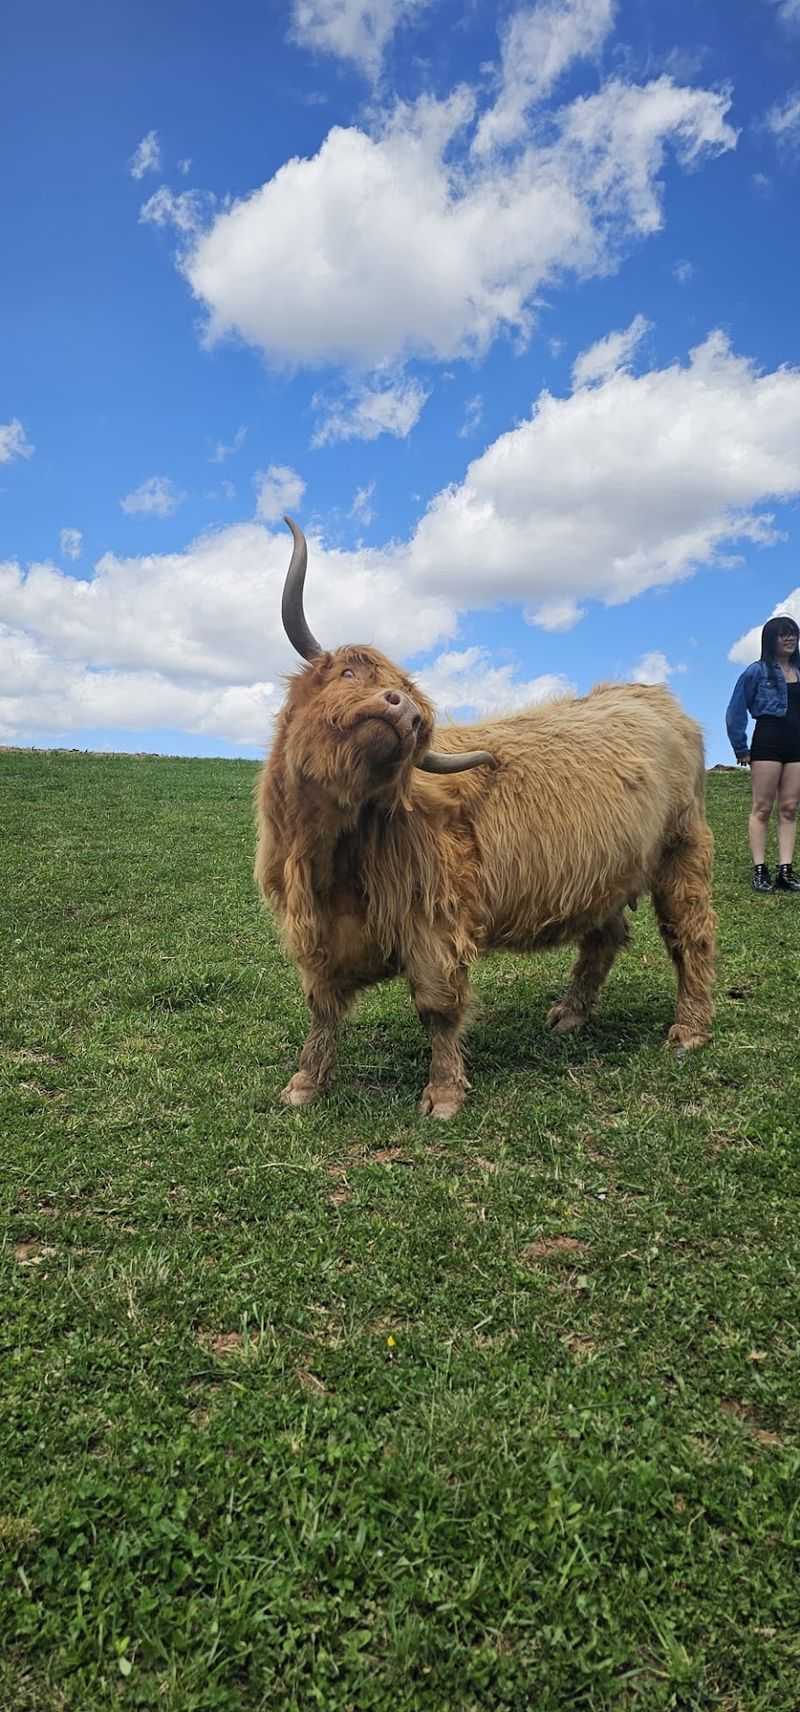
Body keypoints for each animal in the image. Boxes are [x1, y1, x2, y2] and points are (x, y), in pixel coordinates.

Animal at [254, 518, 716, 1119]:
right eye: (349, 672)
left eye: (418, 713)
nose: (404, 707)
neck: (333, 849)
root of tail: (651, 696)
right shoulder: (315, 932)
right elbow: (324, 1008)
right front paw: (305, 1083)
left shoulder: (434, 921)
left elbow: (438, 1008)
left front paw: (444, 1093)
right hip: (606, 870)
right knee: (605, 935)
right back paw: (570, 1015)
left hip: (681, 847)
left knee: (689, 931)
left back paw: (689, 1030)